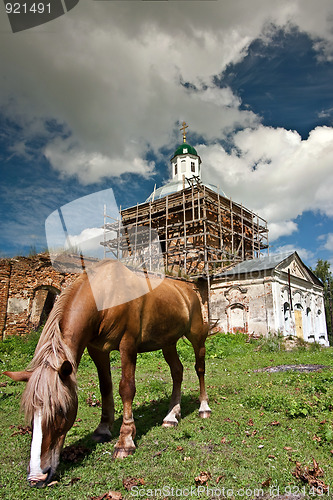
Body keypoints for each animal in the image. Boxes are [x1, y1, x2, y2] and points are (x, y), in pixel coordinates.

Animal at [3, 260, 210, 486]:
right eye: (30, 412)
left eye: (61, 410)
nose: (37, 476)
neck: (105, 296)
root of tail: (187, 290)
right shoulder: (97, 350)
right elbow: (105, 387)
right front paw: (103, 429)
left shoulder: (128, 345)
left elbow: (126, 388)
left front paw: (125, 442)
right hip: (168, 342)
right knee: (177, 371)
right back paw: (172, 416)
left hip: (196, 335)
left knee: (199, 368)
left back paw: (203, 408)